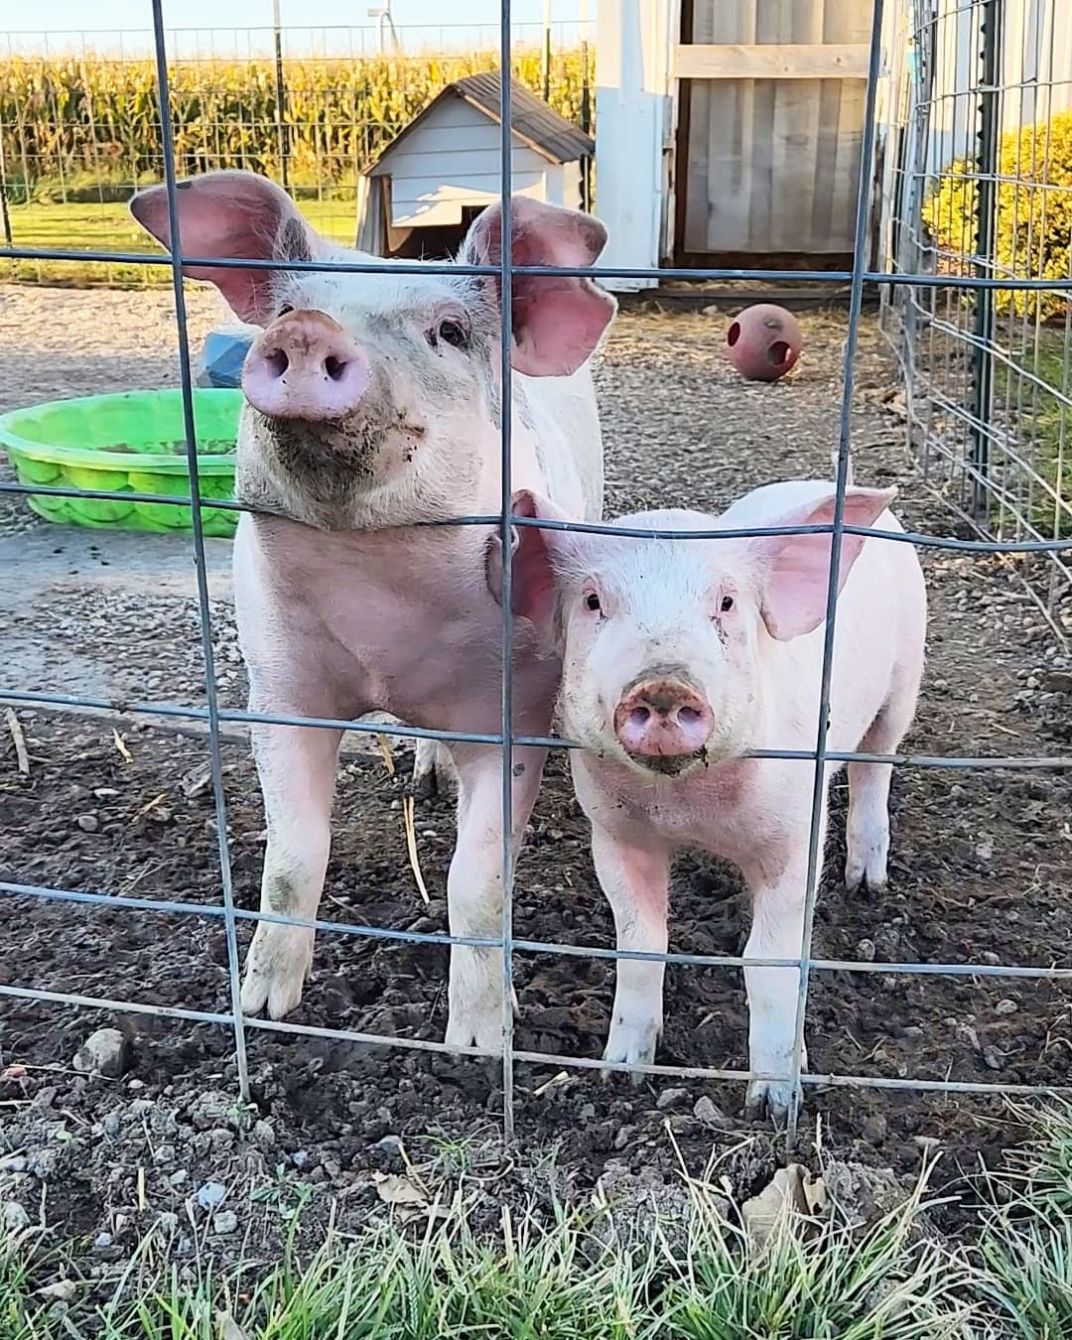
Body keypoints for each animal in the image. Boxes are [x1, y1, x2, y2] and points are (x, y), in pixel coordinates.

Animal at [129, 170, 617, 1048]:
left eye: (450, 331)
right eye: (288, 308)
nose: (308, 330)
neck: (379, 604)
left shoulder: (512, 709)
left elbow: (477, 881)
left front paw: (479, 1043)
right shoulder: (279, 690)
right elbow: (291, 861)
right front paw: (266, 1011)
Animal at [487, 480, 926, 1120]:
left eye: (725, 602)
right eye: (593, 601)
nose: (663, 684)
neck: (687, 807)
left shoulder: (795, 832)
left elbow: (768, 958)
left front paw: (774, 1105)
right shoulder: (614, 833)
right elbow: (641, 944)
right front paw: (622, 1073)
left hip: (903, 681)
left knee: (876, 766)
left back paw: (866, 884)